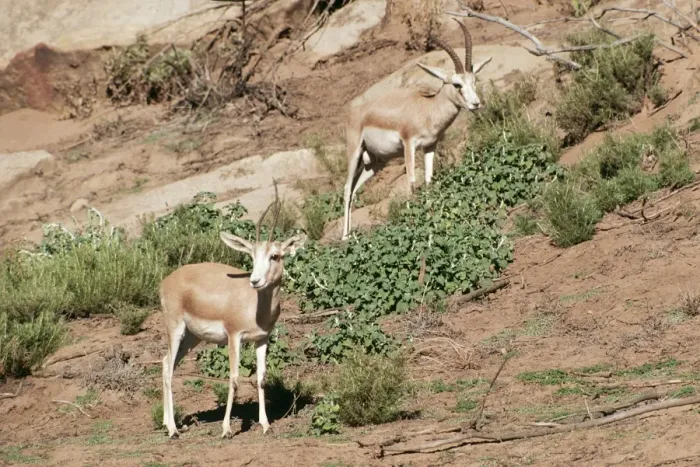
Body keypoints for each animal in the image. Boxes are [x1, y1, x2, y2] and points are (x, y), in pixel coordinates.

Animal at [160, 184, 306, 439]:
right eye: (252, 256)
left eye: (275, 255)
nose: (255, 281)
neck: (256, 307)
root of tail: (166, 281)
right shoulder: (233, 336)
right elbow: (234, 378)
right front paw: (227, 429)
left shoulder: (262, 339)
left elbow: (261, 378)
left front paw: (265, 425)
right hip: (176, 329)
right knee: (168, 370)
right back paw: (173, 430)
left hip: (191, 338)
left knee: (167, 363)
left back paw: (168, 424)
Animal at [341, 20, 492, 239]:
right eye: (457, 84)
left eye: (474, 81)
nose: (475, 104)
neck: (427, 108)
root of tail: (354, 111)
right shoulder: (409, 144)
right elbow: (411, 181)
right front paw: (412, 223)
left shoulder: (430, 146)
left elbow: (428, 180)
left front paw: (429, 217)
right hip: (355, 153)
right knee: (346, 188)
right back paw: (344, 237)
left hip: (375, 163)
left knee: (353, 189)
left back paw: (350, 234)